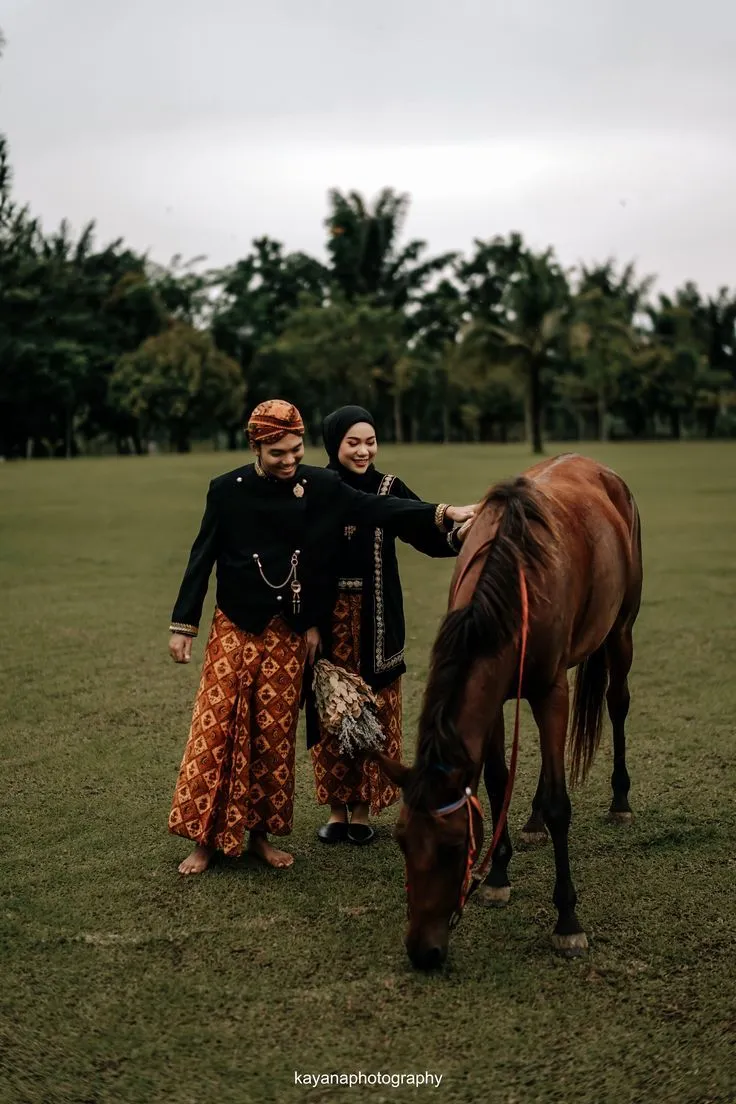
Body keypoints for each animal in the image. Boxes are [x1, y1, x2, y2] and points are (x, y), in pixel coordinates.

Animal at [378, 453, 643, 970]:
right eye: (401, 840)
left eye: (453, 848)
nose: (423, 952)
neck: (514, 576)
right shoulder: (496, 695)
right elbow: (499, 781)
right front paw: (499, 876)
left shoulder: (551, 689)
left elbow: (562, 804)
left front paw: (567, 922)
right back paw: (534, 820)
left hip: (621, 630)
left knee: (617, 704)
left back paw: (619, 800)